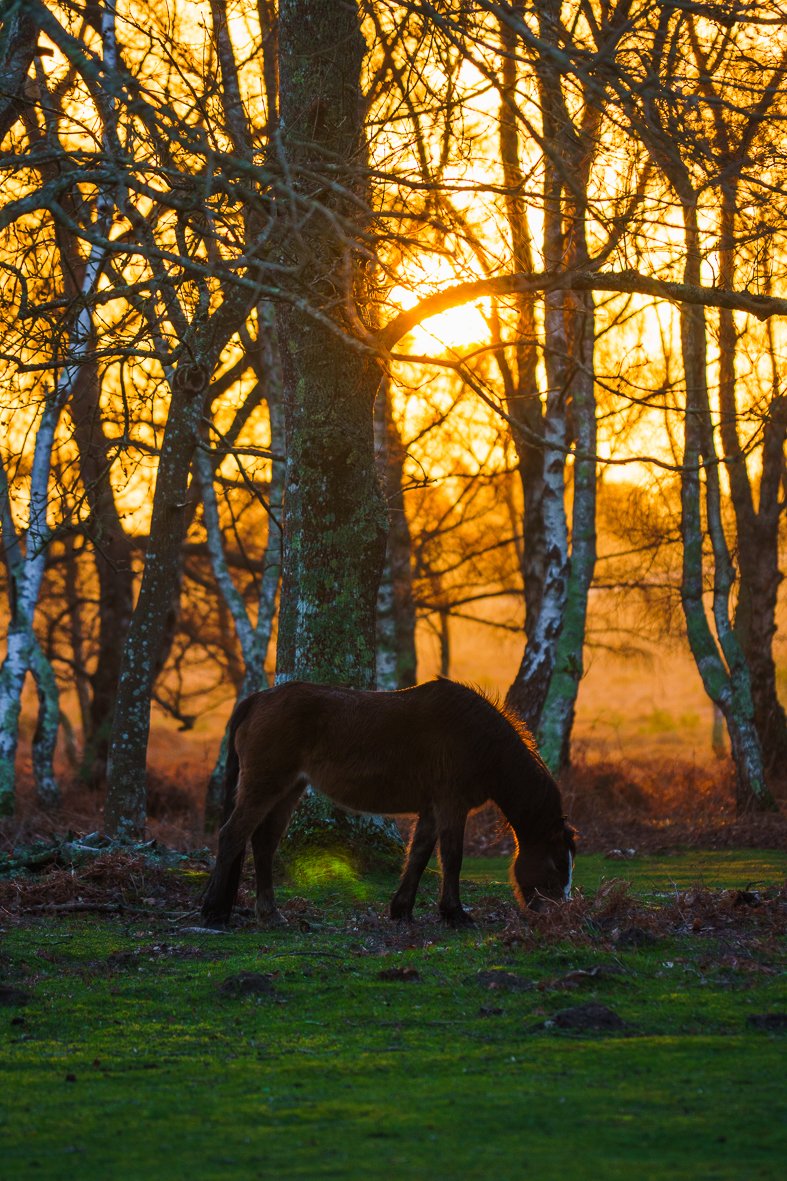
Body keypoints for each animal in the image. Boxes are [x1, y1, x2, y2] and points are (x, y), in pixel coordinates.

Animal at [200, 678, 576, 928]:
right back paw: (214, 912)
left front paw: (402, 910)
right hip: (265, 786)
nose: (561, 912)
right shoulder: (451, 805)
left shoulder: (432, 809)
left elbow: (419, 855)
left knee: (263, 844)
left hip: (288, 790)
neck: (479, 740)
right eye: (558, 863)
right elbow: (452, 858)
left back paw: (270, 914)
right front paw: (455, 914)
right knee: (232, 835)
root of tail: (257, 699)